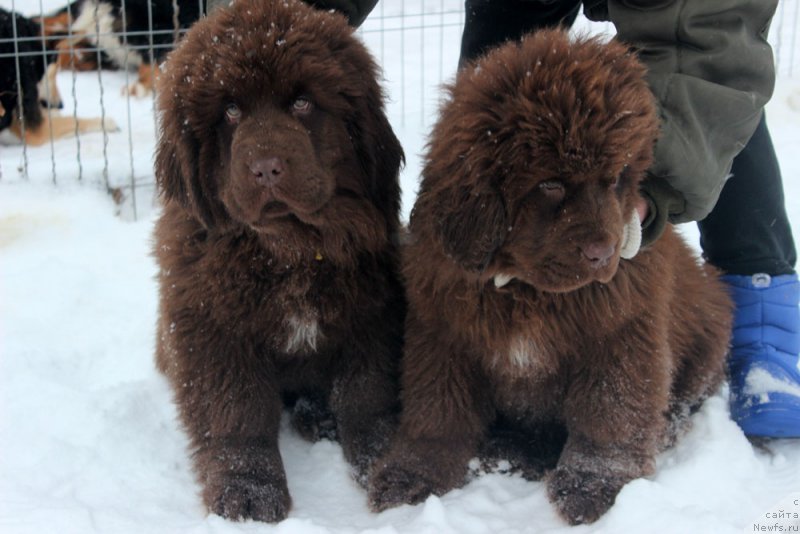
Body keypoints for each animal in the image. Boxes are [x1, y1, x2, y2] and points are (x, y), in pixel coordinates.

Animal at [155, 0, 406, 524]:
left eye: (303, 104)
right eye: (230, 111)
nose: (266, 168)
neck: (290, 250)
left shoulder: (371, 314)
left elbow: (366, 394)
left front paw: (382, 458)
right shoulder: (213, 327)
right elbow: (236, 411)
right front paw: (248, 490)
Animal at [368, 30, 732, 528]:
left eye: (616, 179)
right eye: (551, 184)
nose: (603, 253)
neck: (525, 291)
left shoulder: (620, 335)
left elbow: (611, 411)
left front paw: (594, 485)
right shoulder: (443, 333)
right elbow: (437, 409)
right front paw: (412, 474)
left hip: (710, 323)